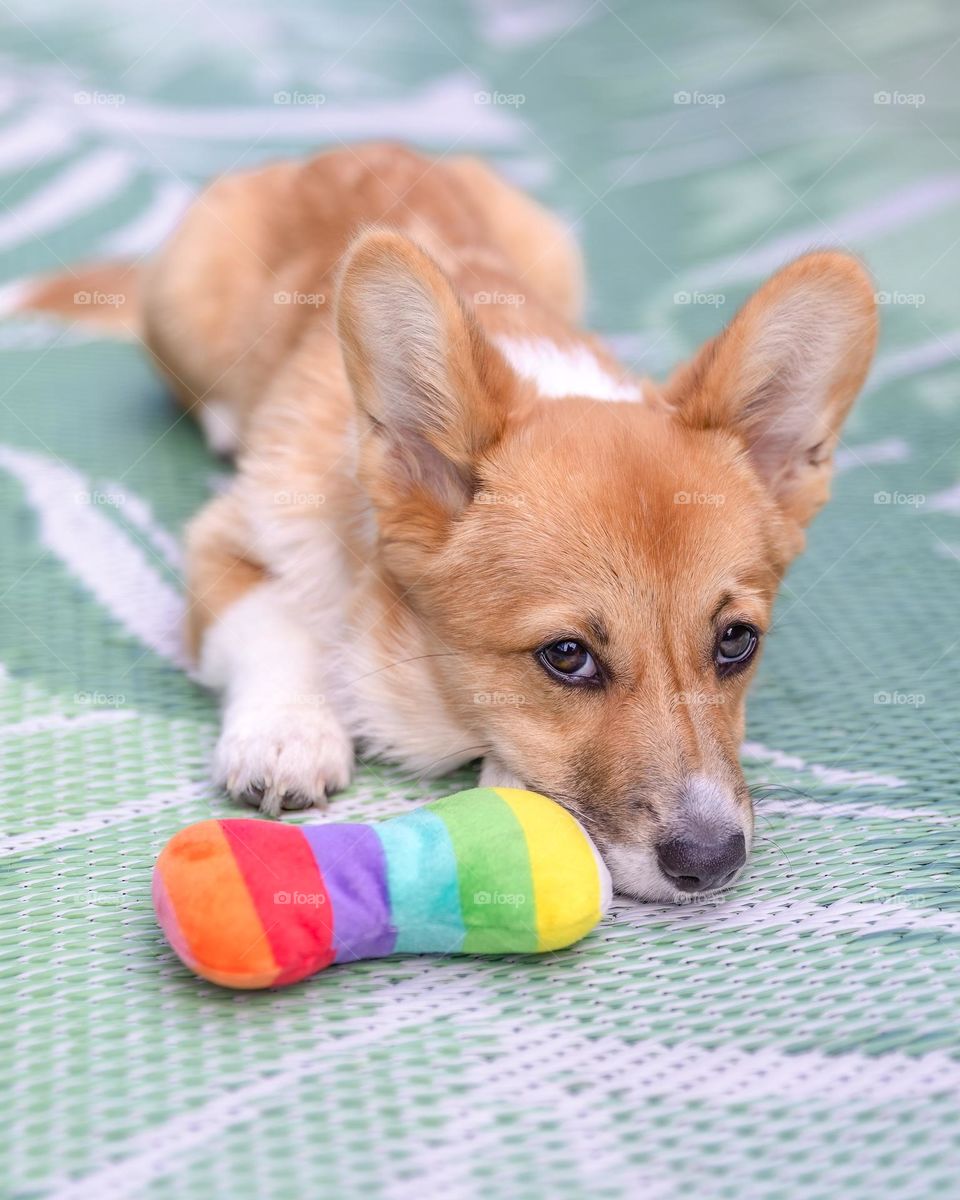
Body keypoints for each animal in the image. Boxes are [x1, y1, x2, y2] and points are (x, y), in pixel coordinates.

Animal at [20, 142, 878, 902]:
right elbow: (270, 623)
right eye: (567, 656)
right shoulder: (225, 541)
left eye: (737, 642)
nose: (713, 862)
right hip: (182, 310)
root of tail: (353, 146)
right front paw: (288, 736)